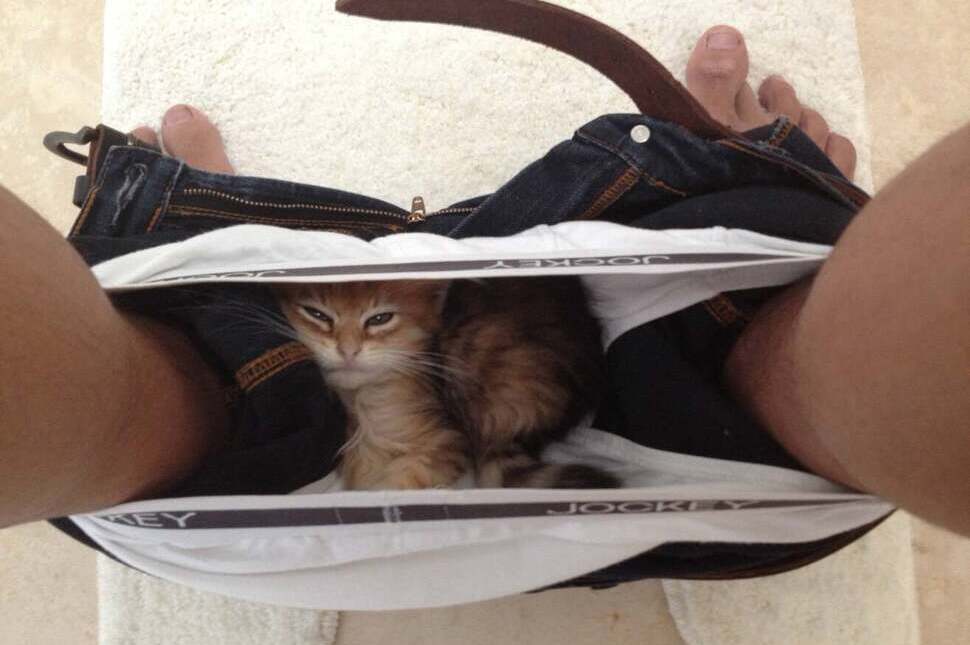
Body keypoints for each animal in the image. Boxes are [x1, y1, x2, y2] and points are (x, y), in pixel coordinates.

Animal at [275, 277, 617, 491]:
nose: (348, 351)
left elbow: (398, 483)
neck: (360, 401)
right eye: (317, 314)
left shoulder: (445, 440)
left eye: (379, 319)